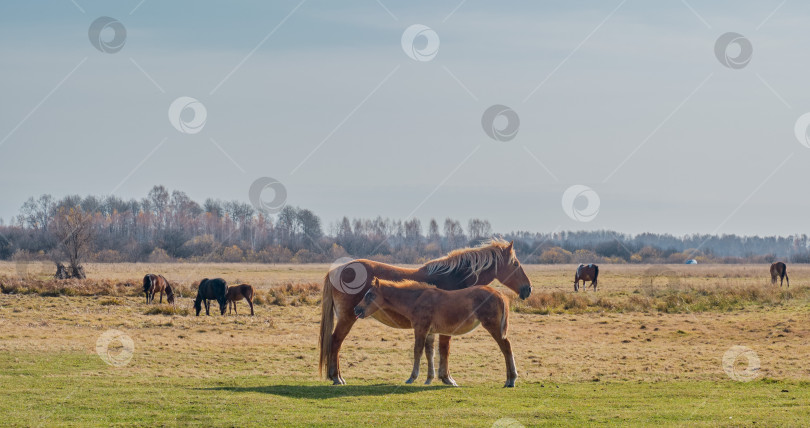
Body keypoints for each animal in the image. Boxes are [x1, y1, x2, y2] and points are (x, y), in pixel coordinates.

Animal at [356, 278, 516, 388]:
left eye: (369, 295)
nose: (356, 309)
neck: (417, 299)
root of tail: (499, 293)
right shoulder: (430, 332)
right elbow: (430, 353)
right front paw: (429, 379)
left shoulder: (420, 329)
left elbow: (417, 351)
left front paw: (412, 377)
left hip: (493, 326)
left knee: (506, 347)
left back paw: (511, 380)